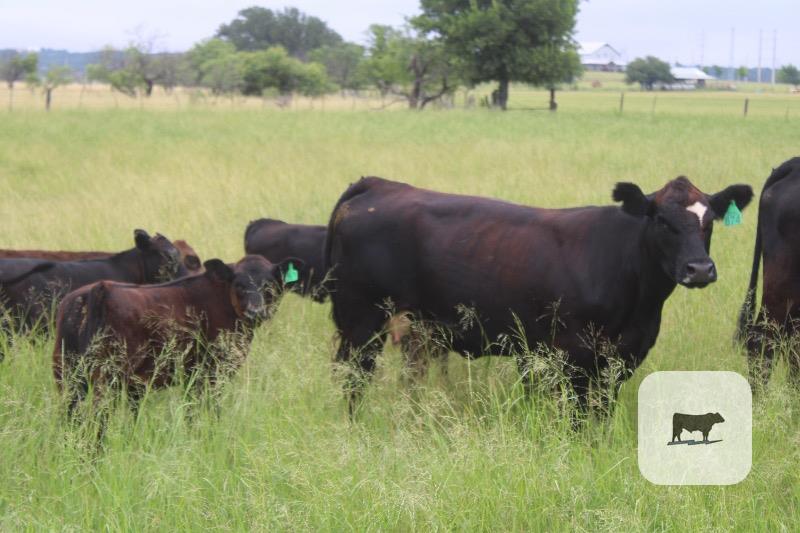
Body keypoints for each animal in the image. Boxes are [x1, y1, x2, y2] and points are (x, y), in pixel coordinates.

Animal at [53, 255, 302, 427]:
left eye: (269, 286)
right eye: (239, 285)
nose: (255, 312)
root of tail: (100, 288)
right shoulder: (211, 373)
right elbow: (207, 409)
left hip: (66, 374)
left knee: (69, 416)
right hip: (105, 376)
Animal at [325, 176, 753, 415]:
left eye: (709, 221)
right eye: (661, 220)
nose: (700, 269)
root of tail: (380, 184)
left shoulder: (622, 358)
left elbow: (601, 414)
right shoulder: (575, 357)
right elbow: (579, 418)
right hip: (361, 320)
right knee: (352, 378)